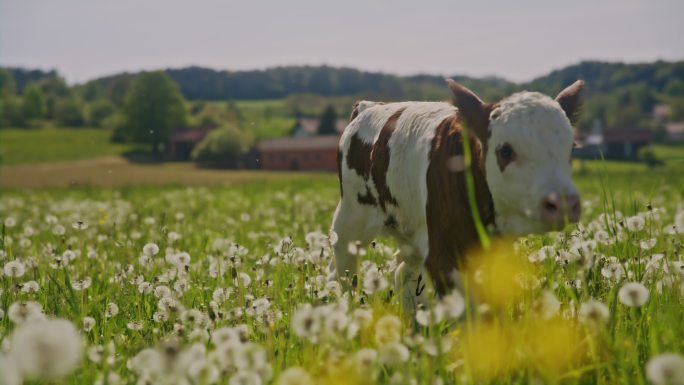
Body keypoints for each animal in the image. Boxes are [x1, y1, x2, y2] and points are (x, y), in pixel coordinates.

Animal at [330, 79, 584, 310]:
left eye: (571, 148)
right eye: (505, 150)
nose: (563, 203)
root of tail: (369, 106)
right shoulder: (443, 255)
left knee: (403, 272)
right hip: (351, 218)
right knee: (342, 270)